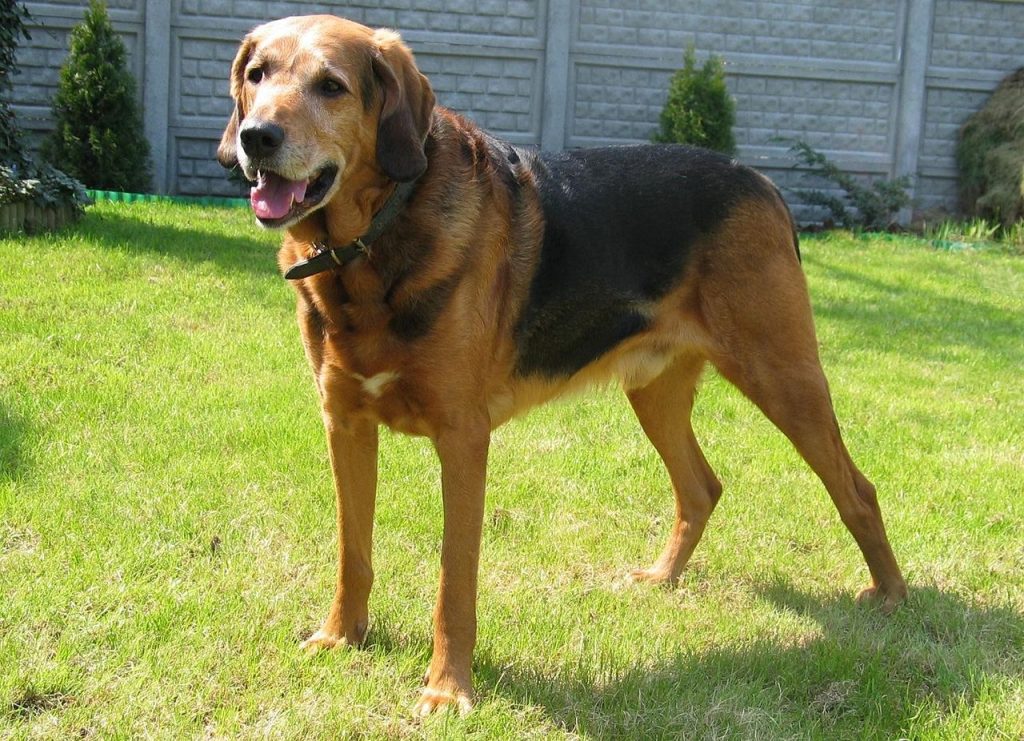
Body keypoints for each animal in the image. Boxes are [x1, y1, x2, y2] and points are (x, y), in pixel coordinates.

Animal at [220, 14, 909, 716]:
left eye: (331, 86)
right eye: (257, 75)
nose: (256, 138)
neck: (371, 243)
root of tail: (762, 181)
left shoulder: (461, 439)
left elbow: (453, 577)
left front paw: (447, 688)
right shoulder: (345, 424)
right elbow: (351, 550)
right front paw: (341, 637)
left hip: (784, 378)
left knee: (857, 491)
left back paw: (892, 598)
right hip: (654, 392)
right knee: (701, 488)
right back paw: (662, 577)